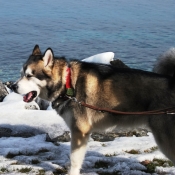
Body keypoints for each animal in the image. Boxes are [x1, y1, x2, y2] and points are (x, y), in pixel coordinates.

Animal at [12, 45, 175, 174]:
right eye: (21, 74)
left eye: (29, 75)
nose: (13, 86)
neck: (67, 83)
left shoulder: (80, 131)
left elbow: (74, 160)